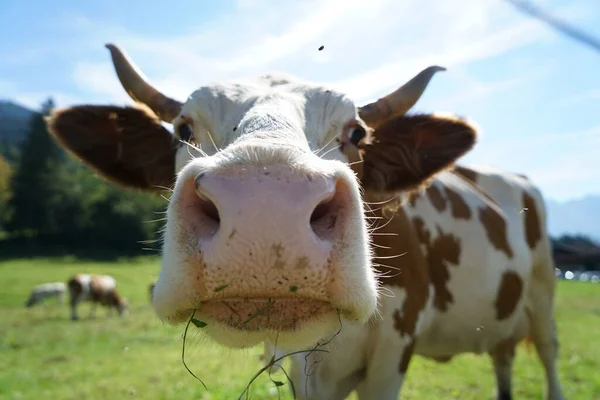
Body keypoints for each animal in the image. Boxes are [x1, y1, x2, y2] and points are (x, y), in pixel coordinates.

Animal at [45, 43, 564, 400]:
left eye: (357, 133)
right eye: (183, 128)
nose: (265, 207)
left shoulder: (393, 354)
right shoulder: (305, 370)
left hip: (542, 293)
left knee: (549, 354)